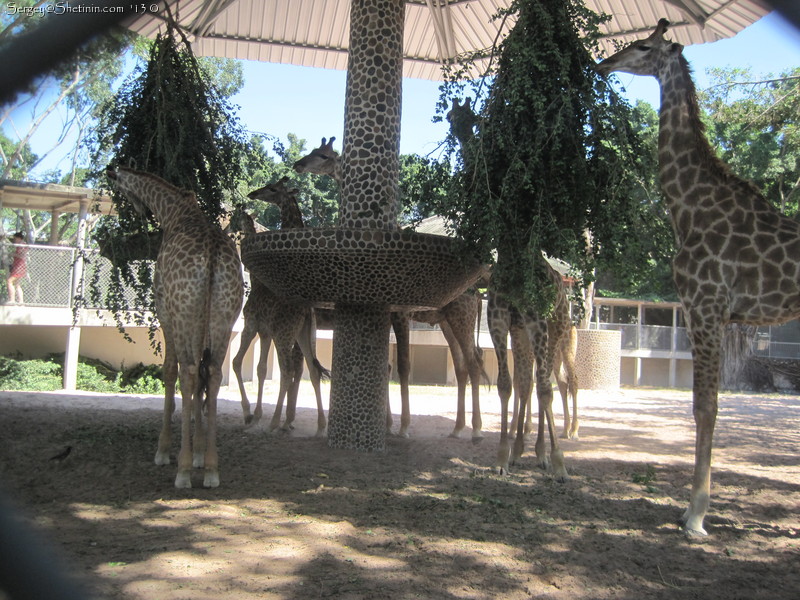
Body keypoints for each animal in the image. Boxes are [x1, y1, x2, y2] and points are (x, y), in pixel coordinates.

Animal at [106, 165, 244, 488]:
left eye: (119, 187)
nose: (139, 211)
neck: (172, 211)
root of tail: (212, 255)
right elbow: (203, 377)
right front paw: (199, 454)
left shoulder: (164, 312)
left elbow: (169, 371)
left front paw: (165, 451)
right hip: (223, 316)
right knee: (212, 373)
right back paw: (211, 469)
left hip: (183, 314)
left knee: (188, 373)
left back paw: (182, 470)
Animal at [290, 141, 484, 440]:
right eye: (311, 150)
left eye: (323, 155)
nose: (298, 164)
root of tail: (477, 290)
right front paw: (388, 424)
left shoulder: (400, 313)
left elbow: (402, 366)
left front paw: (402, 427)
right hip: (445, 320)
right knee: (462, 366)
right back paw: (457, 428)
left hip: (462, 315)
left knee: (473, 363)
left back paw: (475, 431)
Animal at [600, 18, 800, 536]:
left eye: (642, 46)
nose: (604, 62)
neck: (687, 204)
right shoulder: (706, 313)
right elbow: (704, 406)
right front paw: (691, 509)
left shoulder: (706, 306)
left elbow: (705, 408)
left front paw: (695, 516)